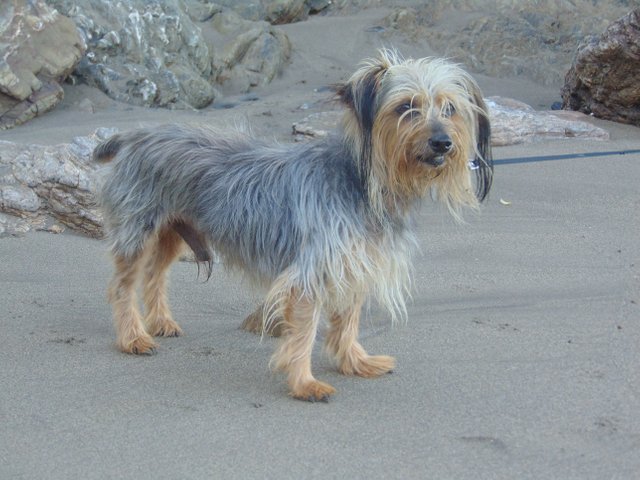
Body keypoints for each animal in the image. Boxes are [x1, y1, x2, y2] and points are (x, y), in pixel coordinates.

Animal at [95, 49, 492, 402]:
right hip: (138, 229)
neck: (360, 180)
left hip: (173, 230)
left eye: (450, 109)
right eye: (406, 107)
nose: (443, 142)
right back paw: (132, 337)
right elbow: (304, 333)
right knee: (121, 286)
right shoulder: (311, 274)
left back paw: (160, 322)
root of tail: (134, 136)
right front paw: (304, 384)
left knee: (155, 273)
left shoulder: (354, 264)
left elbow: (348, 321)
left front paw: (354, 361)